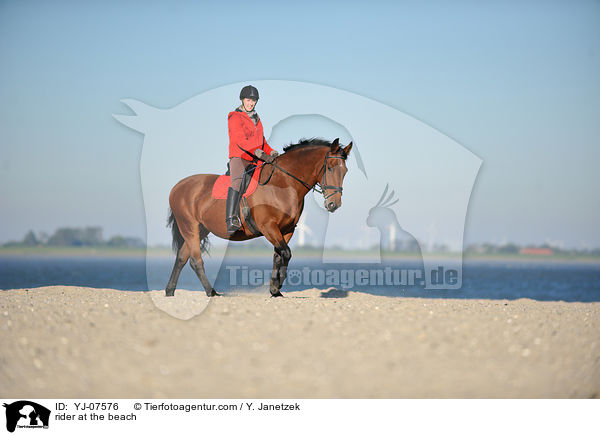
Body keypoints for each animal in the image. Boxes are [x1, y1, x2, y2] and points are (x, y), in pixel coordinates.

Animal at [164, 138, 352, 298]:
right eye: (330, 167)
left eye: (345, 171)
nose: (334, 204)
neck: (283, 184)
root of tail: (177, 186)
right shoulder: (268, 227)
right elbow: (286, 253)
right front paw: (277, 285)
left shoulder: (286, 230)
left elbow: (279, 256)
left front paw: (275, 289)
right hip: (189, 227)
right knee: (195, 260)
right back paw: (211, 292)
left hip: (200, 229)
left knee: (182, 258)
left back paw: (170, 291)